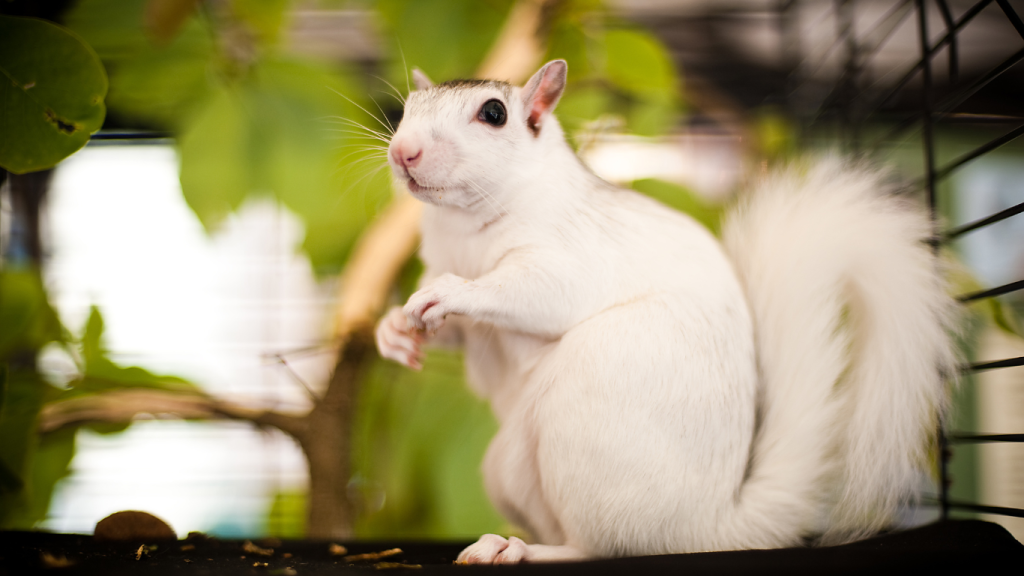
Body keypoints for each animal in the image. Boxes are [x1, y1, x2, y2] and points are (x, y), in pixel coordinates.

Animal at [376, 61, 958, 561]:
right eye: (405, 109)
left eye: (493, 113)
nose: (403, 151)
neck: (464, 226)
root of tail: (704, 529)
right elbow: (450, 332)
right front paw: (394, 332)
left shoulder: (573, 254)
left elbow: (537, 291)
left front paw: (452, 294)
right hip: (506, 470)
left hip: (583, 428)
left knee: (598, 546)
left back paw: (523, 550)